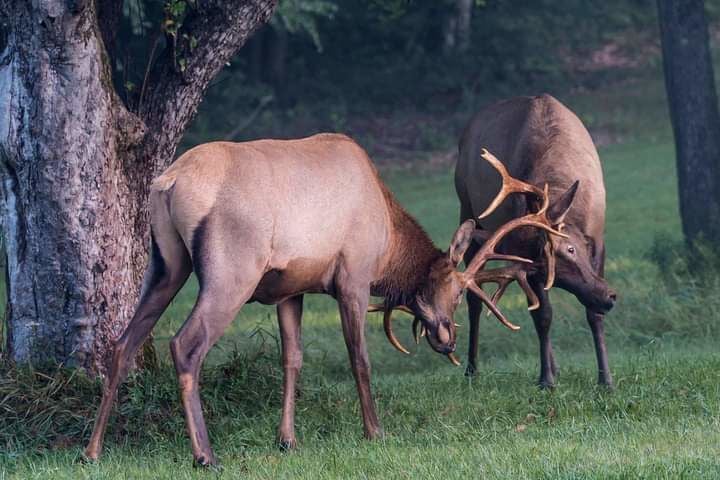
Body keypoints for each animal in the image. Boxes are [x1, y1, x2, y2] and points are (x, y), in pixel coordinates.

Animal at [84, 132, 564, 464]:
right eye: (455, 289)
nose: (447, 338)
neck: (387, 241)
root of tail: (168, 183)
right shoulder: (352, 275)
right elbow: (359, 358)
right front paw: (375, 431)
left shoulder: (290, 288)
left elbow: (292, 358)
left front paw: (287, 439)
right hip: (230, 269)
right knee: (185, 344)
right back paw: (205, 455)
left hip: (164, 262)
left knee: (122, 343)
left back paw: (92, 450)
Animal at [456, 95, 620, 388]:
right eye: (537, 268)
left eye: (570, 248)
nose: (609, 295)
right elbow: (543, 316)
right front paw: (546, 379)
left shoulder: (598, 238)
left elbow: (592, 315)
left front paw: (606, 380)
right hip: (467, 210)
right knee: (476, 297)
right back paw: (472, 369)